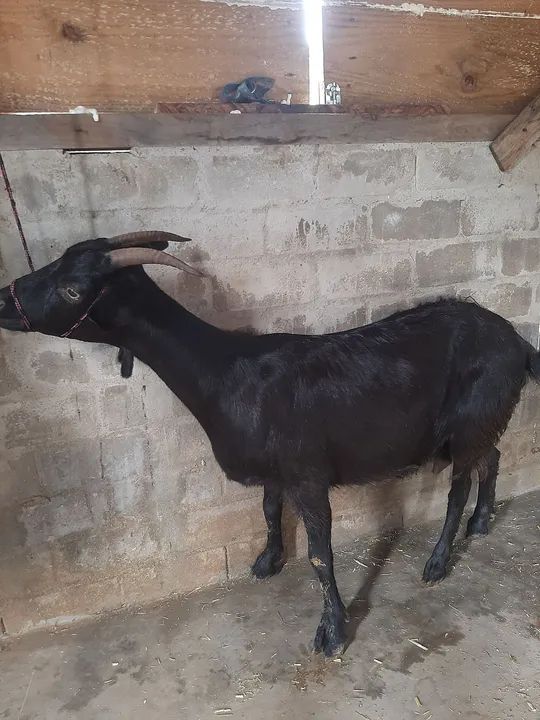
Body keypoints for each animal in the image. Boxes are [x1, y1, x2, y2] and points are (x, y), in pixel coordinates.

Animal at [0, 231, 537, 656]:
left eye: (73, 289)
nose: (5, 300)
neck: (226, 374)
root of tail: (518, 343)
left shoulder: (308, 474)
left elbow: (320, 554)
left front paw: (332, 632)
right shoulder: (276, 471)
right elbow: (269, 510)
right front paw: (267, 561)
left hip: (470, 423)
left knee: (458, 488)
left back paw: (438, 561)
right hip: (482, 423)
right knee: (493, 456)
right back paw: (483, 522)